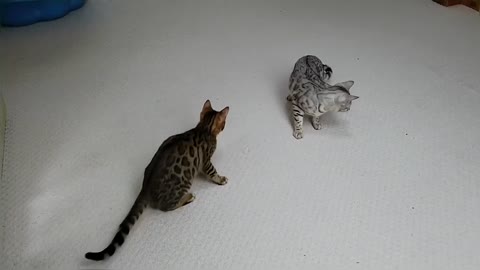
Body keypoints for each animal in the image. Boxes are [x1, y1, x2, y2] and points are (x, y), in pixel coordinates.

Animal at [85, 100, 230, 260]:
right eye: (224, 122)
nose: (225, 126)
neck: (204, 127)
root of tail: (145, 188)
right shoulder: (206, 162)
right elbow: (212, 172)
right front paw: (221, 179)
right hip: (184, 182)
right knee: (167, 207)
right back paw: (188, 197)